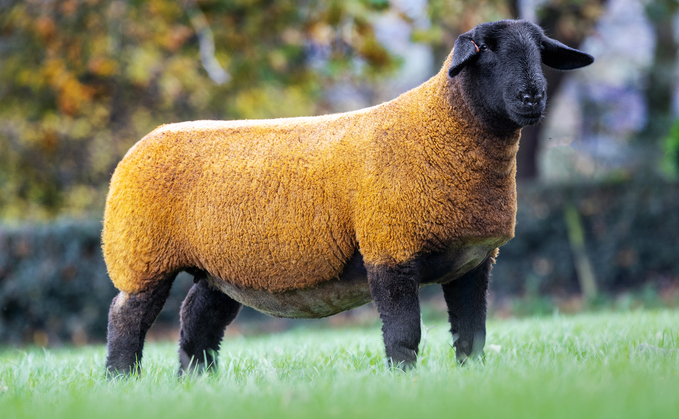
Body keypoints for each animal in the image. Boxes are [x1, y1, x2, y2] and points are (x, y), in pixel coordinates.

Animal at [102, 18, 596, 376]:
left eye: (540, 52)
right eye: (486, 51)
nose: (532, 97)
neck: (439, 126)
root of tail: (145, 141)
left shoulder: (474, 259)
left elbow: (472, 335)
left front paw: (471, 378)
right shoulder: (390, 246)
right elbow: (404, 332)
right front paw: (404, 380)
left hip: (223, 266)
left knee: (197, 321)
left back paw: (194, 382)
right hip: (141, 254)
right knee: (126, 318)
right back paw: (121, 379)